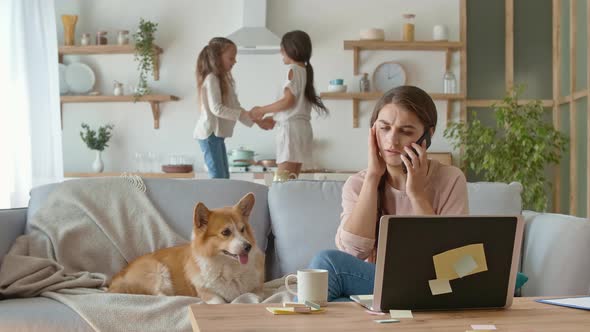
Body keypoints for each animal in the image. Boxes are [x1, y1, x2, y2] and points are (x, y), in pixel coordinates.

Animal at [108, 192, 266, 304]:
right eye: (226, 232)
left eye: (242, 229)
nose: (248, 247)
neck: (228, 267)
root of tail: (118, 277)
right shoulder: (207, 293)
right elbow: (219, 301)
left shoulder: (257, 289)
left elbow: (256, 295)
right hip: (157, 271)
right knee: (159, 295)